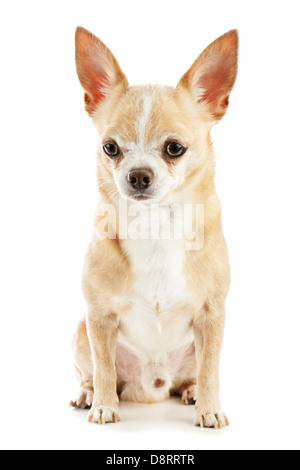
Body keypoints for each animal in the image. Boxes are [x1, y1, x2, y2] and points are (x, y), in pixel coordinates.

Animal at [71, 26, 239, 430]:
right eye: (110, 148)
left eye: (174, 148)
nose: (138, 175)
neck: (155, 224)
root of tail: (151, 388)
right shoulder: (98, 318)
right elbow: (103, 368)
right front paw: (104, 406)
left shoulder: (212, 316)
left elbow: (211, 370)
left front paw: (210, 409)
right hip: (81, 332)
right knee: (94, 373)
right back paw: (88, 395)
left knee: (193, 374)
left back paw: (191, 392)